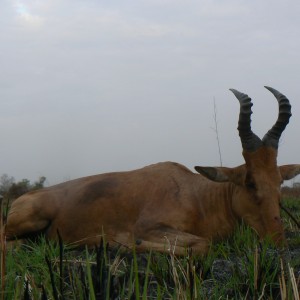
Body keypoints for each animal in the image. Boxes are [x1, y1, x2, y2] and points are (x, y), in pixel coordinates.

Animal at [2, 86, 300, 253]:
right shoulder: (148, 227)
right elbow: (203, 244)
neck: (197, 195)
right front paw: (118, 243)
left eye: (279, 181)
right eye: (249, 181)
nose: (278, 242)